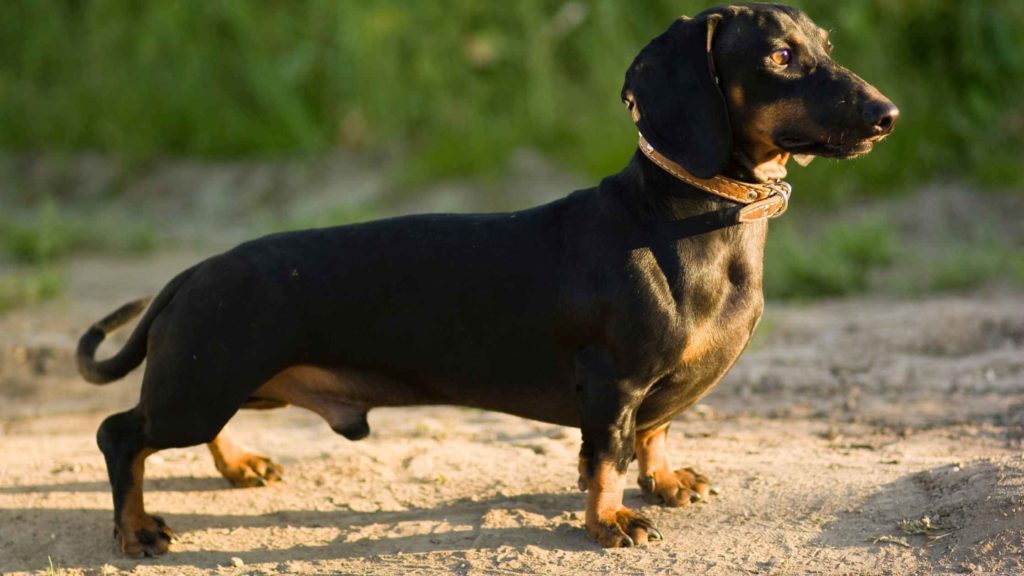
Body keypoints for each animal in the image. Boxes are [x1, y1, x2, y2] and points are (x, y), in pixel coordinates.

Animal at [77, 3, 897, 553]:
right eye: (781, 57)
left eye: (826, 46)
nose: (889, 113)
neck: (688, 218)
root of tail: (191, 272)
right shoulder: (614, 381)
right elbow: (606, 458)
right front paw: (611, 520)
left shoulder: (653, 391)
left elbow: (656, 432)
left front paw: (665, 483)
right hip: (202, 384)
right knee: (123, 435)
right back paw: (136, 530)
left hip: (228, 381)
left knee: (187, 431)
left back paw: (239, 465)